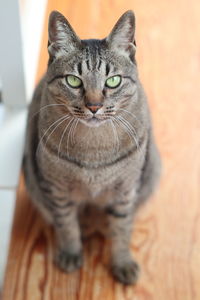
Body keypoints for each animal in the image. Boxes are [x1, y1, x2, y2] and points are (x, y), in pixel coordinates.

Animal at [23, 10, 161, 284]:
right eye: (74, 81)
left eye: (114, 80)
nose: (94, 106)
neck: (94, 148)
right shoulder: (56, 188)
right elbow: (66, 224)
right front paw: (71, 252)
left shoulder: (126, 189)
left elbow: (122, 229)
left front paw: (122, 262)